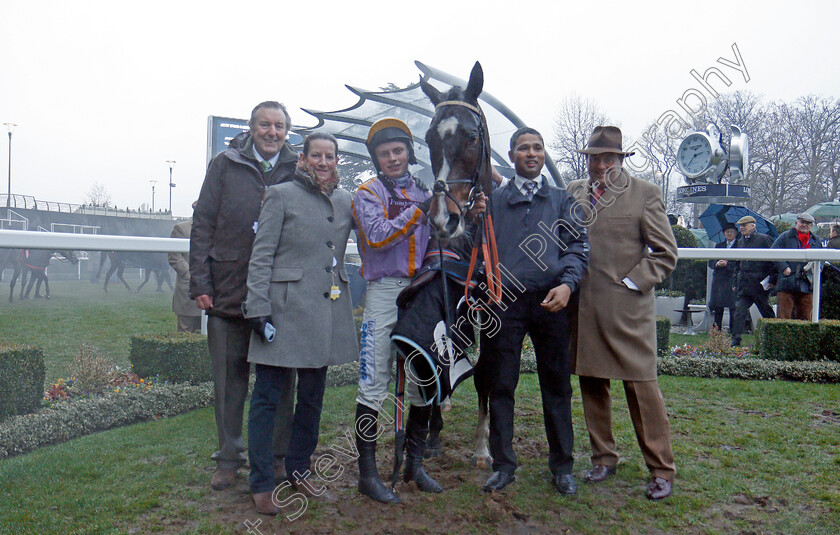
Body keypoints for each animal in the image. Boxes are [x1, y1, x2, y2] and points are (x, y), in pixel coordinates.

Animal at [388, 63, 498, 474]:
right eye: (429, 138)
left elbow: (485, 375)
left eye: (472, 136)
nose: (442, 219)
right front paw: (435, 434)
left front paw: (483, 447)